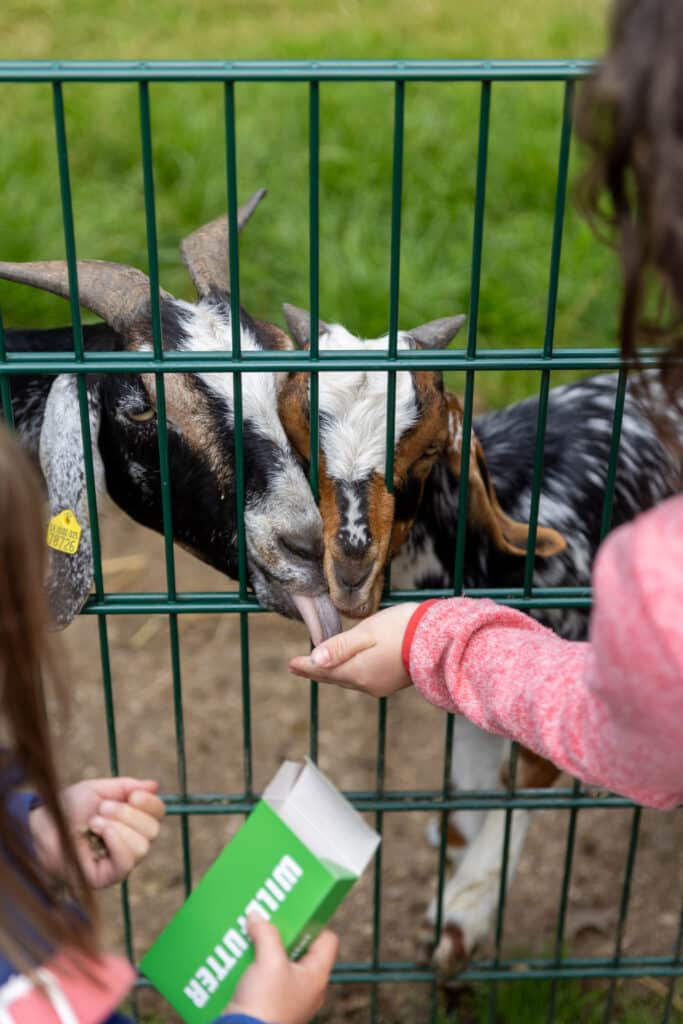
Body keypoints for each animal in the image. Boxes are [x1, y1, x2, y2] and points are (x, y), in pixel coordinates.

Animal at [278, 299, 683, 970]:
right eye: (306, 448)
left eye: (423, 455)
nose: (353, 568)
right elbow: (473, 774)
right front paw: (455, 842)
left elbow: (528, 776)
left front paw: (459, 916)